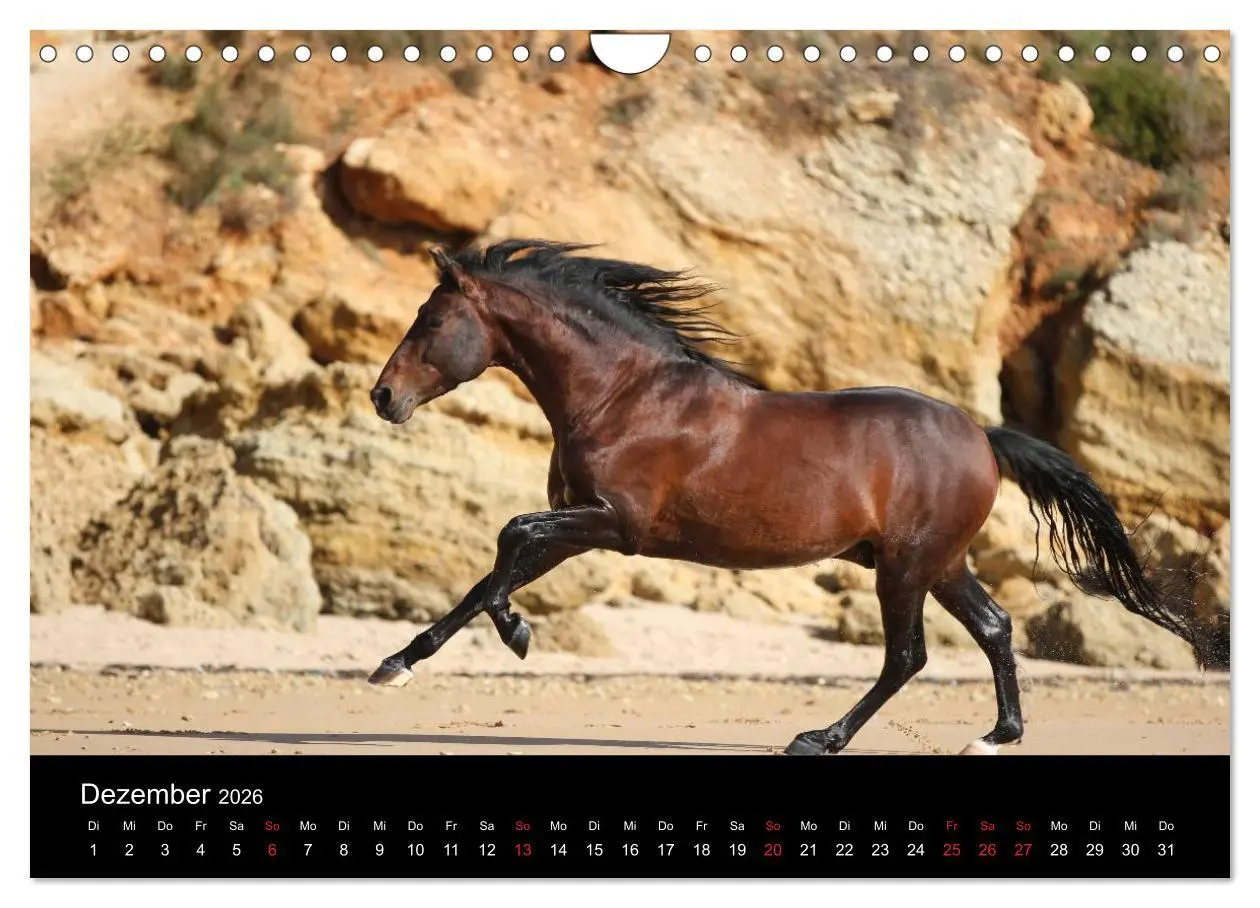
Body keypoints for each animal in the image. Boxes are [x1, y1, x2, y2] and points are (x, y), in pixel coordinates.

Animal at [365, 238, 1208, 756]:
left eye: (431, 320)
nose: (382, 397)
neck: (623, 395)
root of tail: (982, 435)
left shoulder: (615, 524)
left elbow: (509, 537)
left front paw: (503, 637)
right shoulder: (581, 528)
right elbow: (492, 571)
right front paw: (408, 660)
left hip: (905, 567)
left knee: (908, 655)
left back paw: (819, 739)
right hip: (939, 563)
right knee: (996, 628)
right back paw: (995, 735)